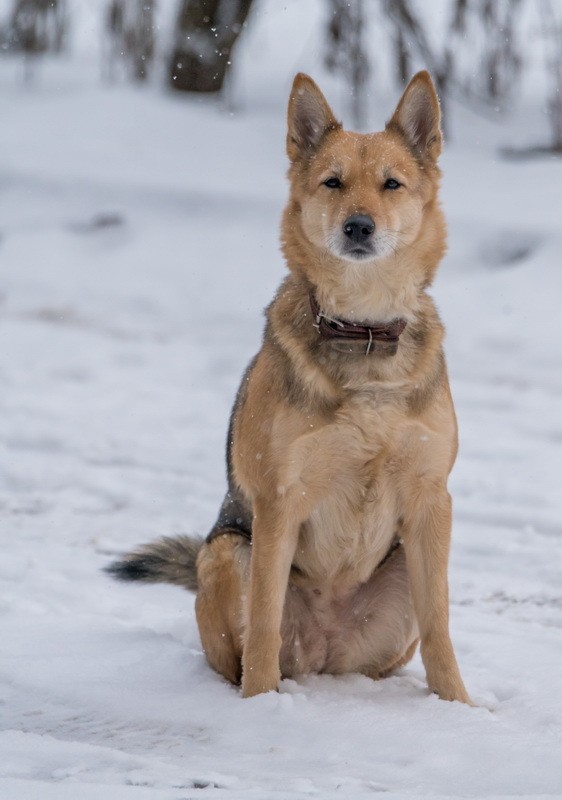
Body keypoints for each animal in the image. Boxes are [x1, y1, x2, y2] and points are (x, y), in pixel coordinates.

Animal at [107, 70, 470, 708]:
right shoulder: (281, 500)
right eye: (333, 182)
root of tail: (327, 655)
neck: (362, 330)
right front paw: (258, 709)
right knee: (248, 643)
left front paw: (461, 709)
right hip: (229, 551)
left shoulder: (431, 501)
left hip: (401, 566)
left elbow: (440, 627)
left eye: (391, 184)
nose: (358, 225)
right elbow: (264, 625)